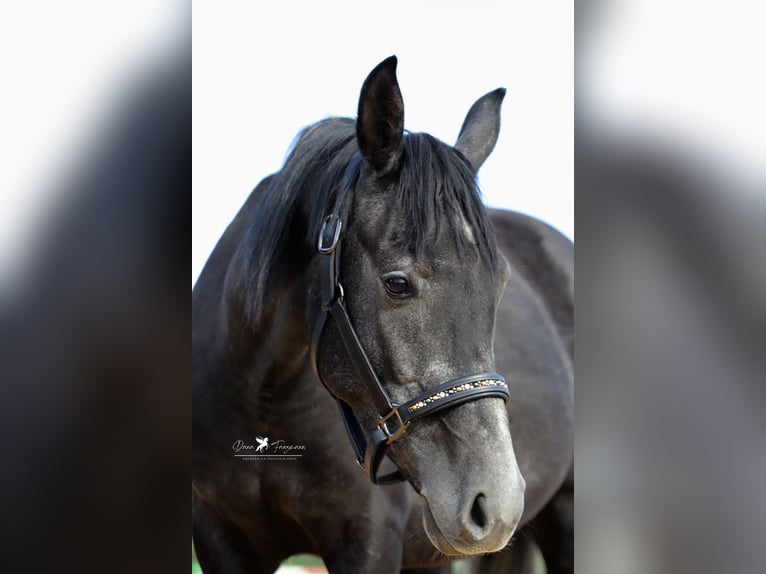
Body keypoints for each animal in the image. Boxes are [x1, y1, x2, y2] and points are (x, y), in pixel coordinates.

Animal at [194, 55, 576, 574]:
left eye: (500, 285)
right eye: (397, 283)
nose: (495, 504)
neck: (264, 401)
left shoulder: (369, 540)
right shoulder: (219, 536)